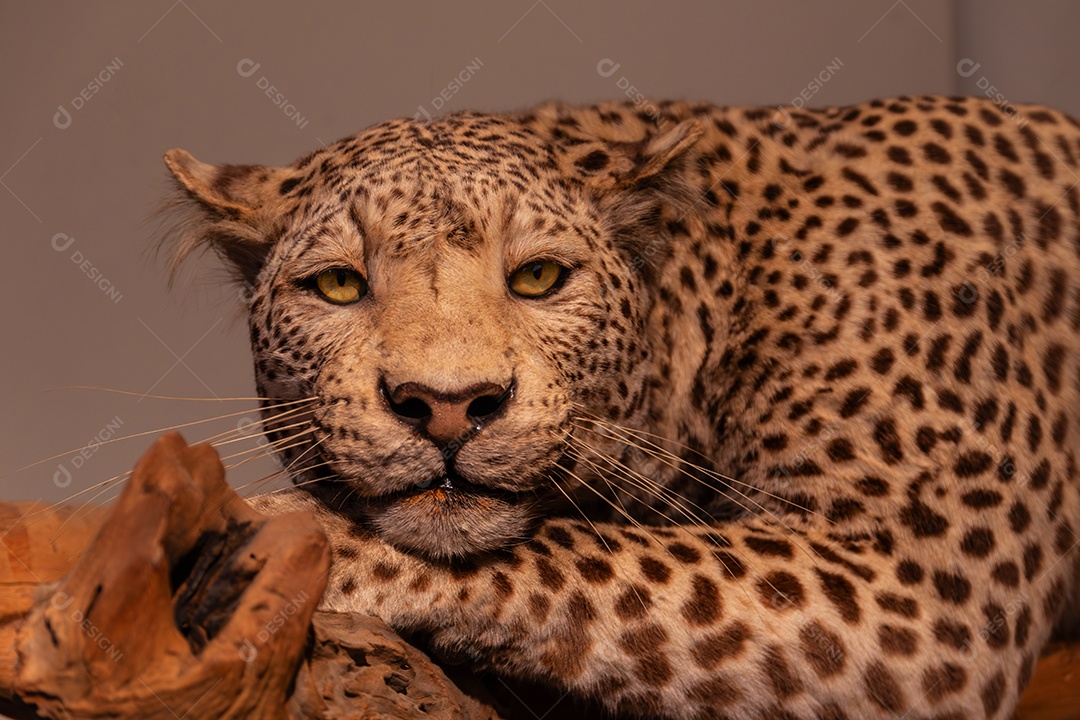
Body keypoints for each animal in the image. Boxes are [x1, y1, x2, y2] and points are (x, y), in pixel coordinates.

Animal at [161, 95, 1080, 719]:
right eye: (339, 287)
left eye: (539, 277)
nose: (448, 407)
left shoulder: (923, 592)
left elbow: (598, 557)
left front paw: (282, 542)